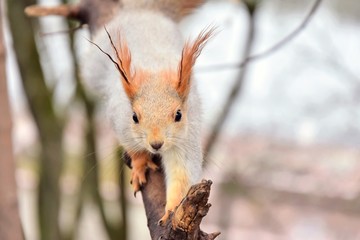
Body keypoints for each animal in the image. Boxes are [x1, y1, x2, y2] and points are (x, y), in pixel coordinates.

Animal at [83, 0, 214, 225]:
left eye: (178, 115)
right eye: (134, 117)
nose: (156, 144)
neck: (156, 75)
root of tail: (144, 11)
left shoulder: (186, 138)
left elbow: (182, 173)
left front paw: (173, 209)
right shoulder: (121, 122)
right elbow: (133, 148)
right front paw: (140, 163)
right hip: (93, 67)